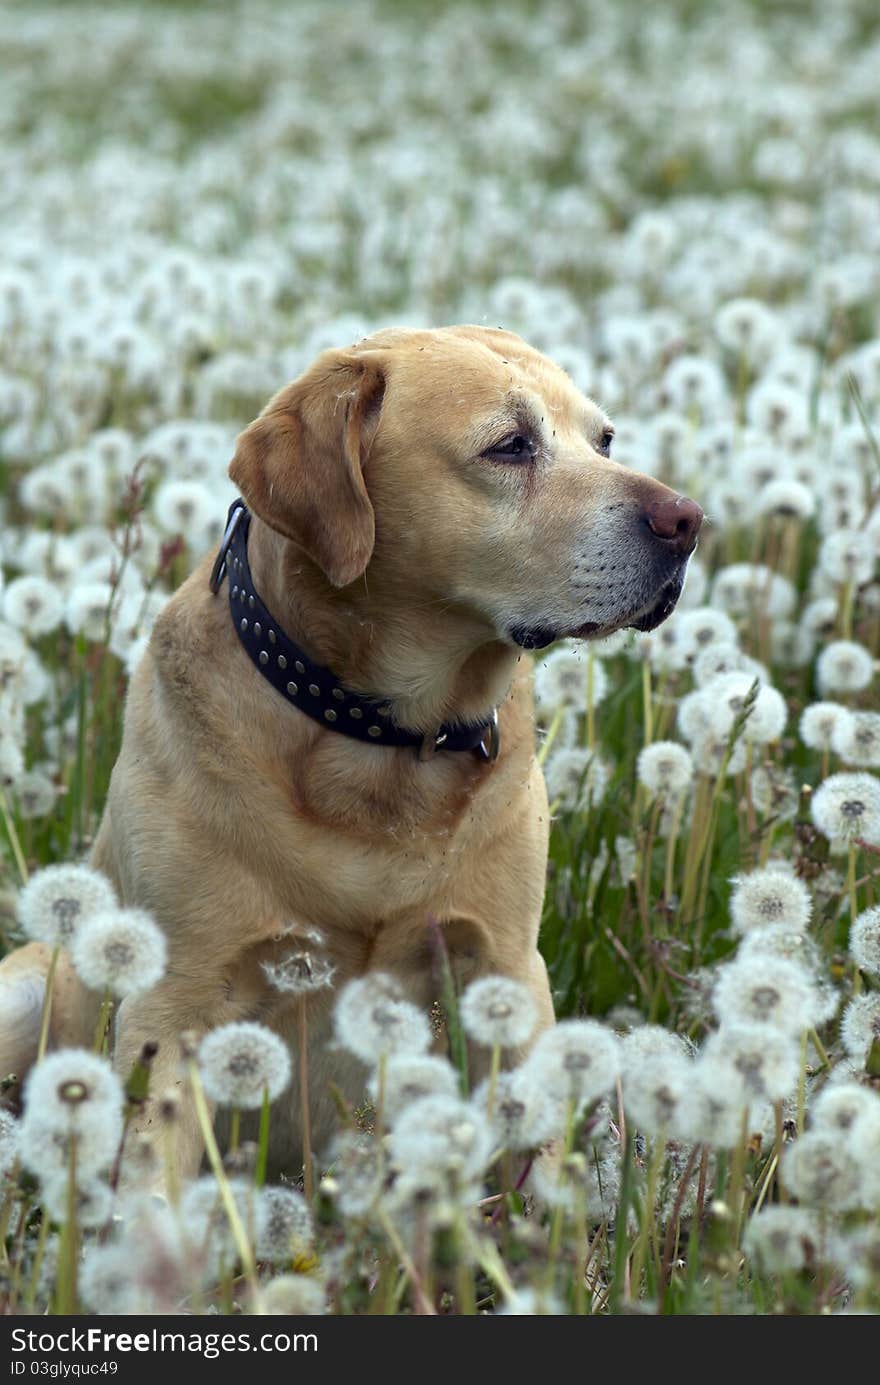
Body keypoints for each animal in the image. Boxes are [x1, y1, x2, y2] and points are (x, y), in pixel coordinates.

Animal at [0, 321, 701, 1180]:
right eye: (510, 446)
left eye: (604, 439)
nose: (688, 521)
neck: (385, 739)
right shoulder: (175, 1001)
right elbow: (151, 1180)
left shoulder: (507, 966)